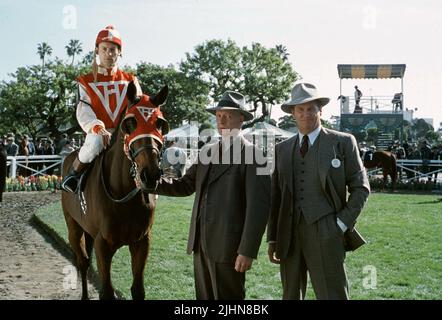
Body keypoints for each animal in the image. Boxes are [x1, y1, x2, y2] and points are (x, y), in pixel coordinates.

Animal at [60, 80, 167, 300]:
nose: (150, 174)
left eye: (160, 123)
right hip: (73, 227)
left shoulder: (142, 242)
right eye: (131, 122)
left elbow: (138, 290)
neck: (123, 195)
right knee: (83, 262)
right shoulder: (103, 244)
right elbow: (107, 291)